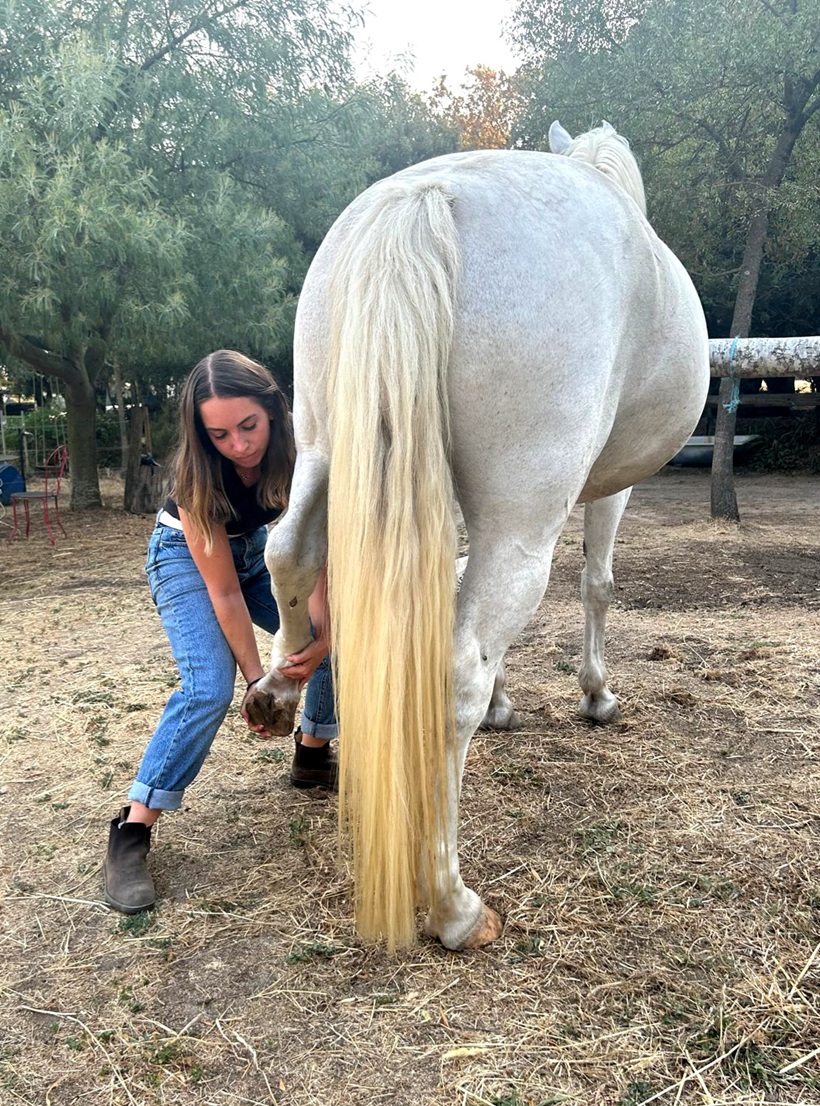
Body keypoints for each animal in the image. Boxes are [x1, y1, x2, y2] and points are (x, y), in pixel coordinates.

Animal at [245, 121, 710, 952]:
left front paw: (505, 702)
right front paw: (595, 694)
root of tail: (426, 197)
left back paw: (279, 687)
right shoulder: (603, 491)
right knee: (456, 663)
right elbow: (596, 586)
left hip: (330, 445)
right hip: (522, 512)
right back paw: (454, 904)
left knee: (288, 551)